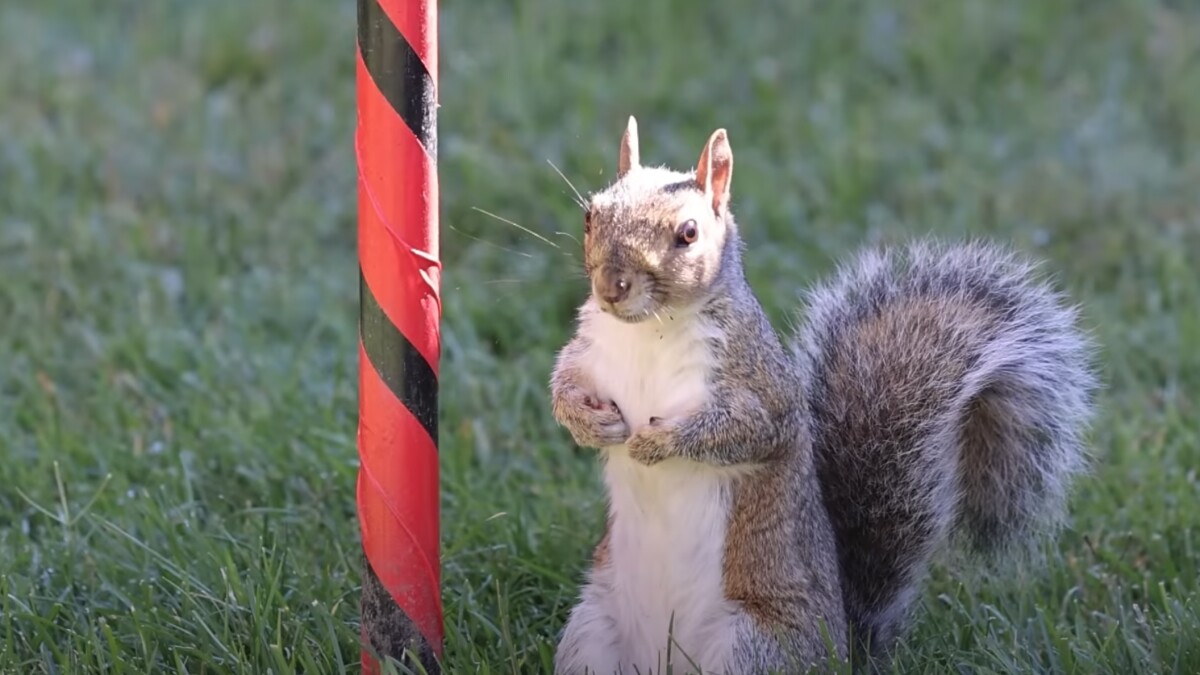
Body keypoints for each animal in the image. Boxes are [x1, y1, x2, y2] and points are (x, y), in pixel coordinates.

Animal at [549, 117, 1099, 672]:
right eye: (592, 214)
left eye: (688, 233)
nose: (611, 285)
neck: (649, 331)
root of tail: (842, 651)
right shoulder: (588, 353)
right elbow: (562, 386)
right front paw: (588, 422)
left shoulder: (762, 387)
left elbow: (745, 431)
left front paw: (656, 444)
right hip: (591, 633)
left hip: (752, 646)